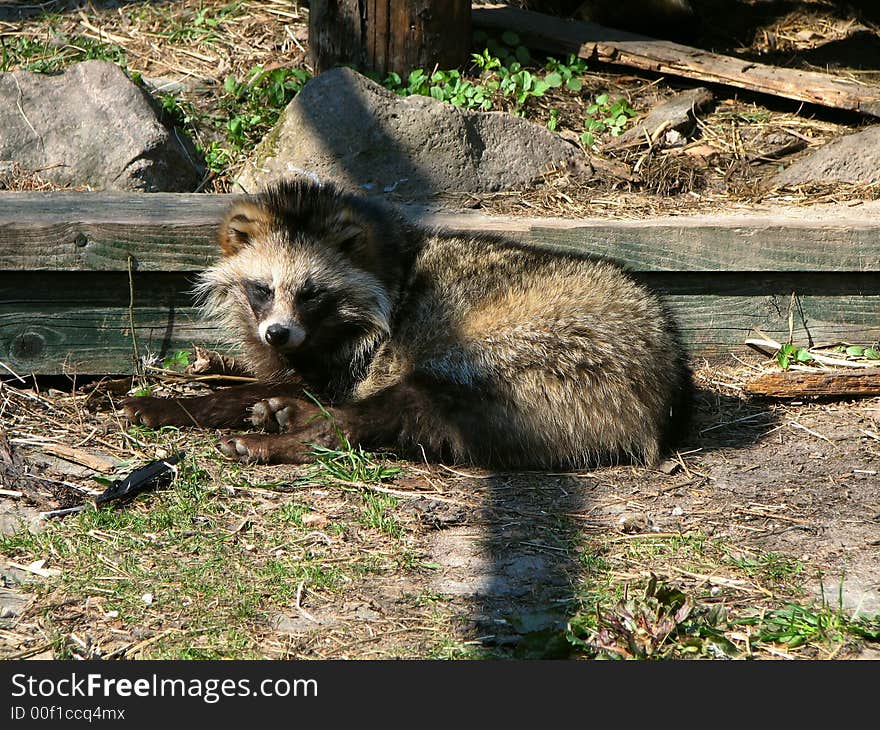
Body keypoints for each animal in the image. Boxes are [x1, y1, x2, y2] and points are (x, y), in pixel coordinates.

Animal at [124, 179, 692, 470]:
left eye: (310, 294)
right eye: (263, 289)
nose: (277, 334)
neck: (390, 262)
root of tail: (663, 380)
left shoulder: (363, 353)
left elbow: (316, 388)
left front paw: (197, 404)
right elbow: (267, 381)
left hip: (534, 356)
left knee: (401, 404)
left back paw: (303, 433)